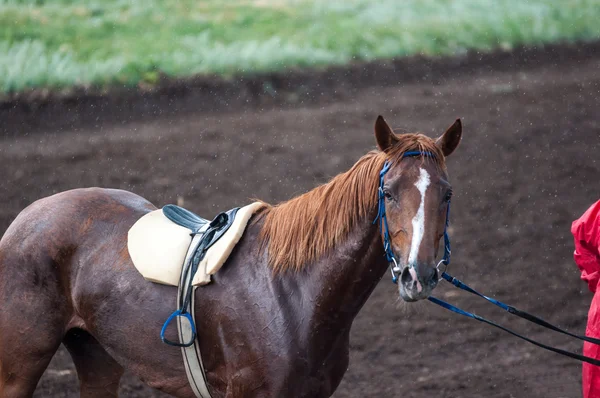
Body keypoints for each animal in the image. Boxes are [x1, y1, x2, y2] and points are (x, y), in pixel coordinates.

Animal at [0, 116, 460, 398]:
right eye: (388, 193)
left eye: (447, 193)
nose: (418, 275)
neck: (294, 293)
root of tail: (27, 216)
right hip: (19, 366)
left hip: (98, 356)